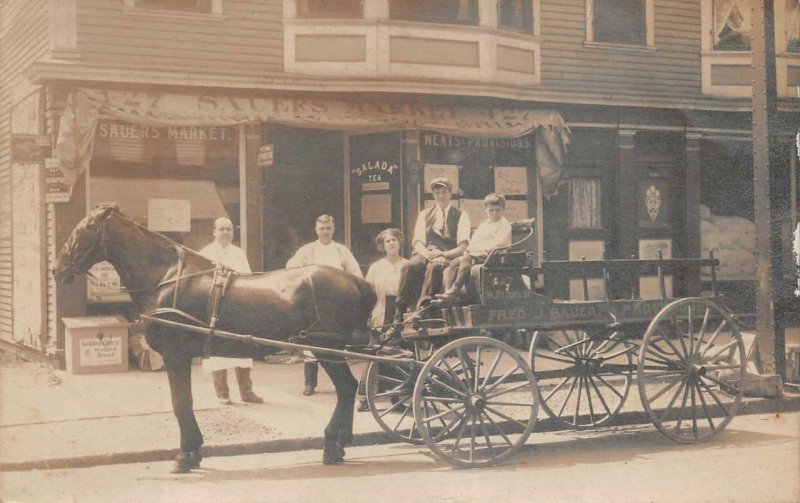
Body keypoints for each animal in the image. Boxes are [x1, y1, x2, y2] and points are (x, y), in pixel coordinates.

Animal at [54, 204, 378, 472]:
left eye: (85, 229)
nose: (57, 268)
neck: (165, 277)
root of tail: (355, 280)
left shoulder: (176, 355)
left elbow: (181, 402)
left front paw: (185, 456)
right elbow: (184, 402)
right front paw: (194, 451)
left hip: (326, 348)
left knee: (347, 388)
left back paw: (333, 444)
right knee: (348, 389)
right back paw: (339, 443)